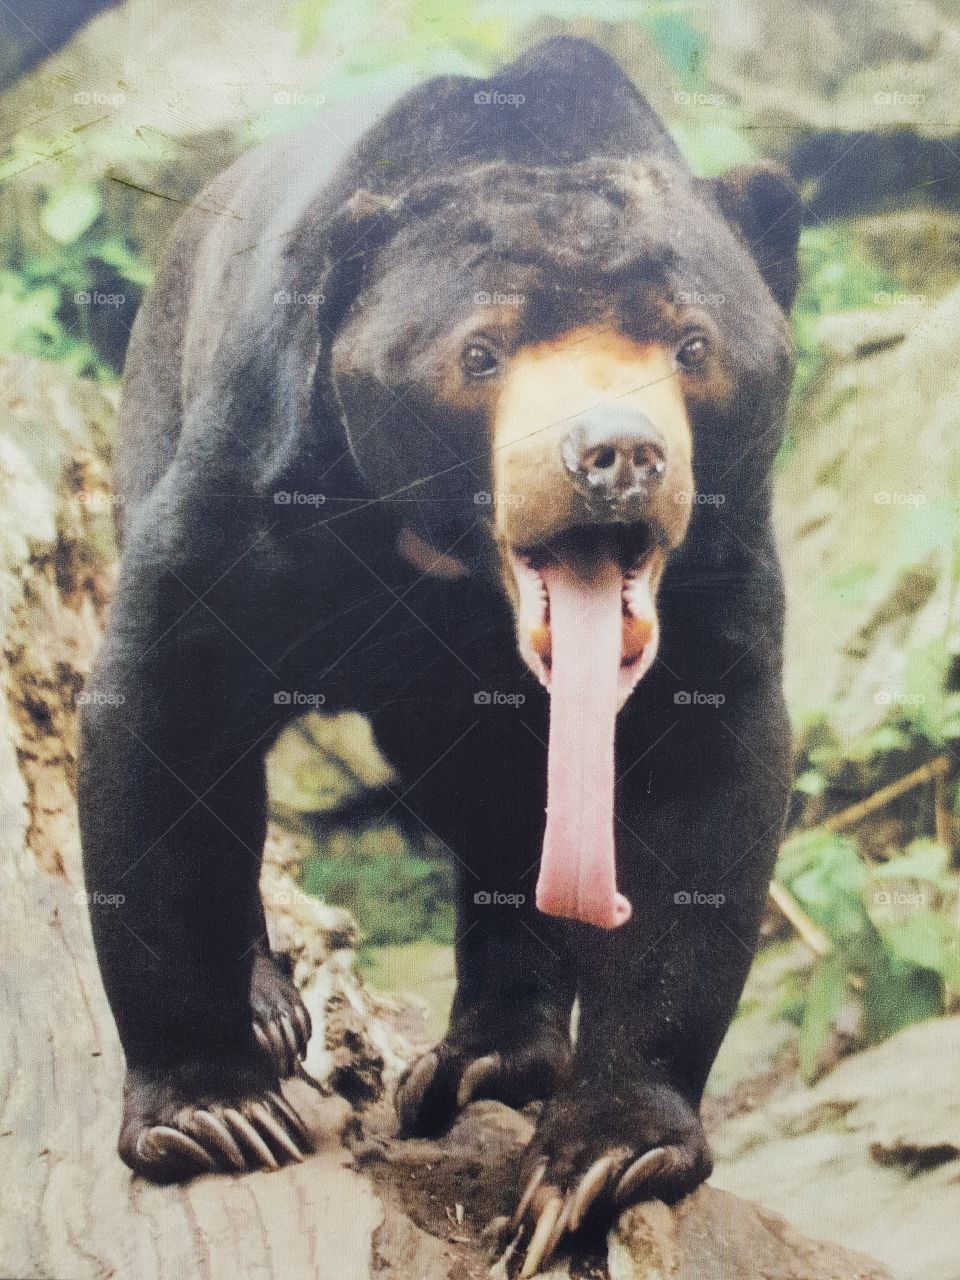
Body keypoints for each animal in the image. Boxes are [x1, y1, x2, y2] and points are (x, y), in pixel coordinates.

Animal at [78, 35, 799, 1272]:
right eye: (482, 352)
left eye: (693, 345)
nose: (617, 455)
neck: (458, 565)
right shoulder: (264, 469)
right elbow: (169, 703)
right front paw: (215, 1115)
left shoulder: (719, 546)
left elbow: (700, 770)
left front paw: (599, 1161)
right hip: (154, 396)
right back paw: (273, 1005)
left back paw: (482, 1062)